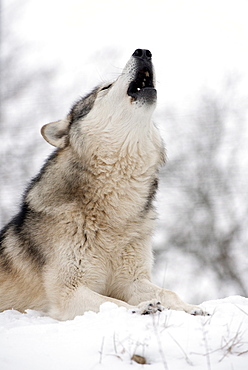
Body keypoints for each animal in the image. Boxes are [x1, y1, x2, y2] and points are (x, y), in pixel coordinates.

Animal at [0, 49, 205, 320]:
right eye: (105, 87)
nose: (143, 52)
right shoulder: (69, 292)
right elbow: (113, 304)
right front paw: (143, 308)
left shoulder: (132, 279)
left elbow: (168, 293)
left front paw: (192, 308)